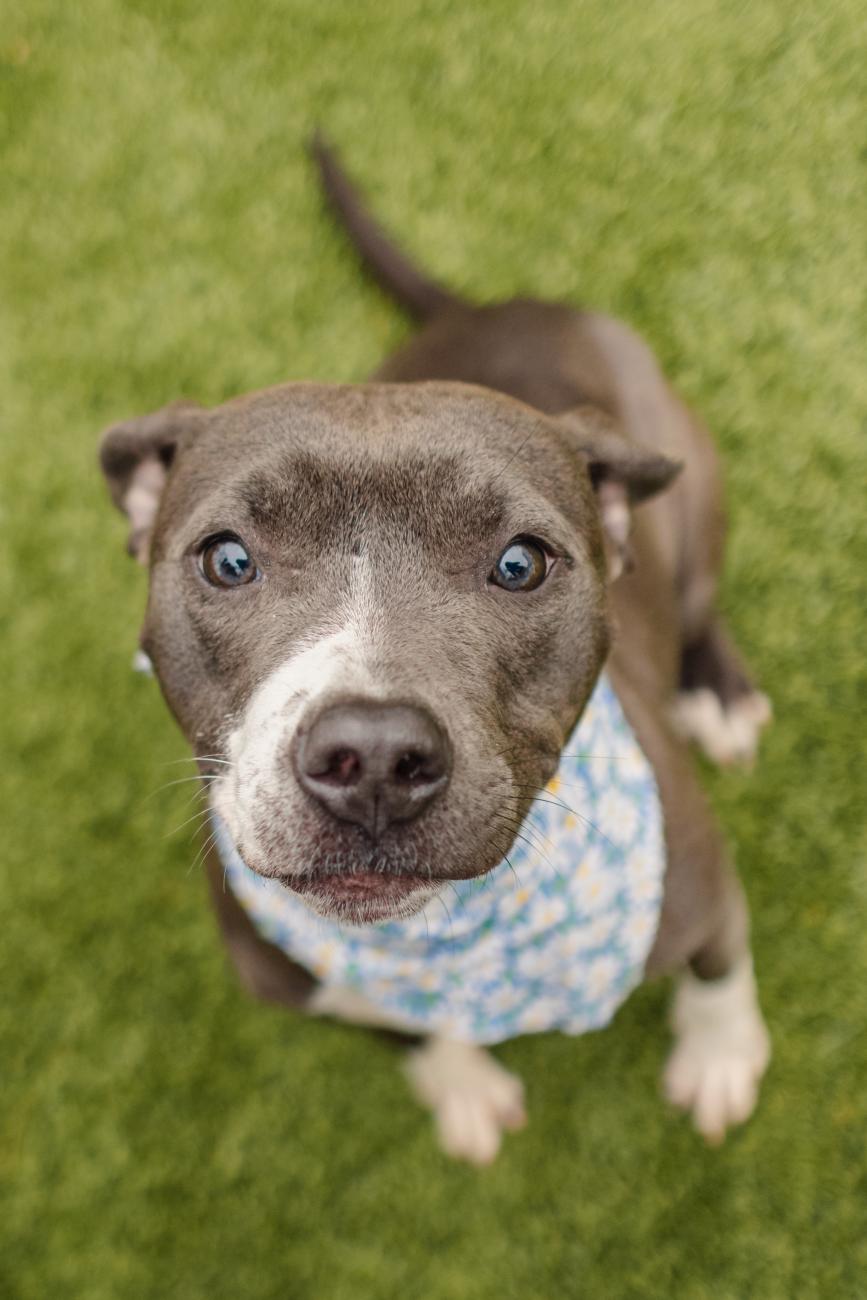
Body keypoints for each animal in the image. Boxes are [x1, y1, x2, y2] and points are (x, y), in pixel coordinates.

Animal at [102, 137, 774, 1164]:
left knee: (699, 605)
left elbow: (718, 967)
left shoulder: (701, 890)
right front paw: (459, 1083)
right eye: (227, 559)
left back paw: (718, 693)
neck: (440, 945)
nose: (372, 757)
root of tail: (481, 305)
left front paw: (719, 1054)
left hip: (693, 489)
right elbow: (409, 1031)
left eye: (519, 563)